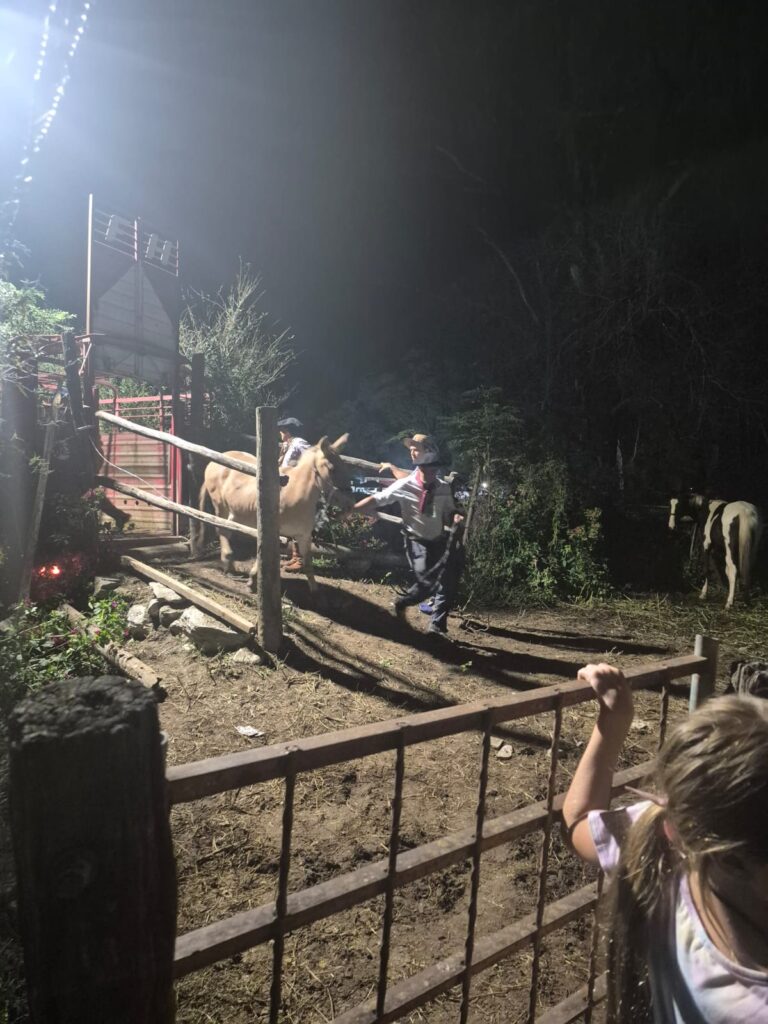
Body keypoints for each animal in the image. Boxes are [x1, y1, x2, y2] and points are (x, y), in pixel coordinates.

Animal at [192, 434, 354, 591]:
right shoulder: (273, 533)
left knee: (228, 530)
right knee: (222, 530)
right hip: (220, 506)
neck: (298, 494)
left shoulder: (304, 535)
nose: (350, 503)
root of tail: (213, 461)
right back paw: (228, 563)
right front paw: (252, 581)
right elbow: (264, 556)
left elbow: (308, 564)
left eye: (345, 467)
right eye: (332, 469)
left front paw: (315, 592)